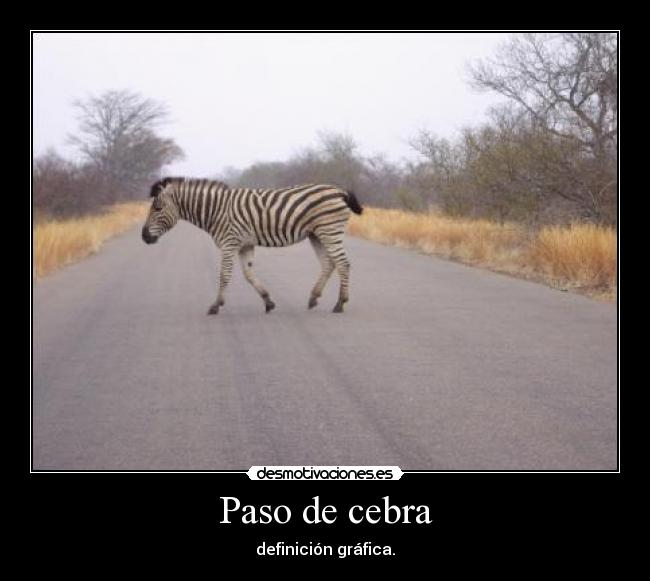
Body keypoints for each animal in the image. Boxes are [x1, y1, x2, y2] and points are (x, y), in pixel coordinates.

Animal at [141, 177, 363, 314]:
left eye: (157, 208)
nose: (144, 237)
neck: (216, 211)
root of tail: (339, 190)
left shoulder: (229, 243)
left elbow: (224, 275)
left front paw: (215, 306)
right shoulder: (244, 245)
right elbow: (248, 275)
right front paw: (268, 302)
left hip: (329, 230)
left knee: (343, 264)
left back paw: (340, 303)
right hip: (316, 234)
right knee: (329, 264)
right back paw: (314, 298)